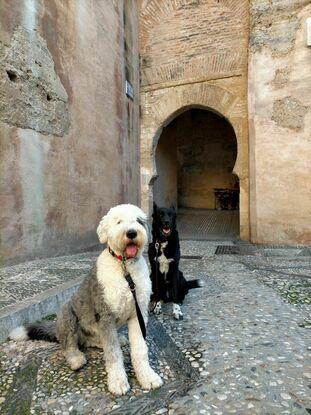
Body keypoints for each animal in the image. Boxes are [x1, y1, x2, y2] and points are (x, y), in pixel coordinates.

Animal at [9, 205, 163, 396]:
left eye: (139, 221)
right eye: (119, 222)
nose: (132, 233)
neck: (125, 269)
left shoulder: (138, 313)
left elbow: (140, 349)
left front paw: (147, 377)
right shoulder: (105, 315)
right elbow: (113, 354)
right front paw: (118, 381)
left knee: (89, 341)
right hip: (67, 313)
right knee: (69, 344)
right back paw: (76, 358)